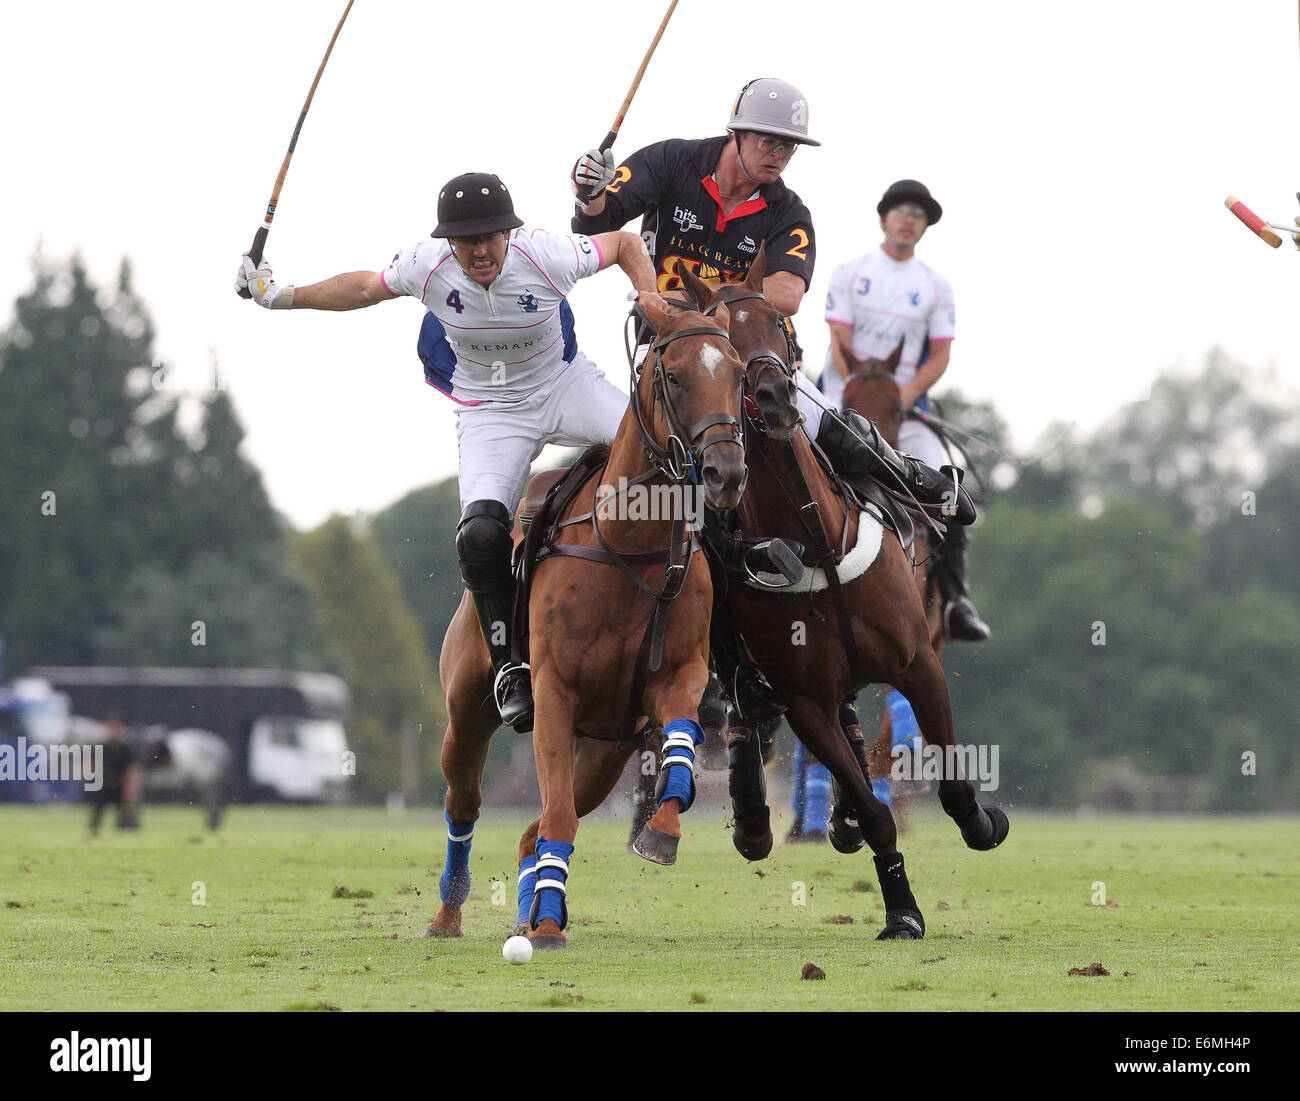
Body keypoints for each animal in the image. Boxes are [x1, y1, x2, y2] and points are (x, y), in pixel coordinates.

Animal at [431, 288, 748, 951]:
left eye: (736, 375)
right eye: (674, 376)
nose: (726, 474)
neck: (629, 545)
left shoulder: (674, 676)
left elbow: (680, 746)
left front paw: (662, 830)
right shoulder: (556, 693)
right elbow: (555, 814)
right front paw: (550, 924)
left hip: (602, 752)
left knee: (535, 827)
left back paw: (530, 909)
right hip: (467, 711)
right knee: (466, 801)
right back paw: (450, 913)